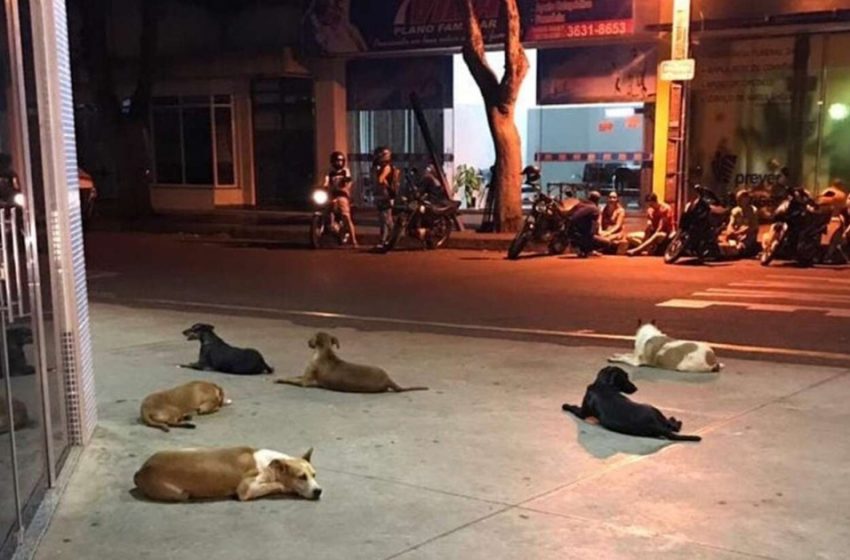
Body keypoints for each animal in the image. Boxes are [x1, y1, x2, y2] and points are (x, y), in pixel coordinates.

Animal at [132, 446, 322, 504]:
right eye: (301, 477)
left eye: (314, 474)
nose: (319, 491)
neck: (270, 465)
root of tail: (141, 470)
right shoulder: (247, 490)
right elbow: (277, 485)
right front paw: (286, 487)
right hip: (180, 493)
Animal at [274, 332, 428, 394]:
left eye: (312, 338)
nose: (307, 342)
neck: (324, 351)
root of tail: (388, 379)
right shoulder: (304, 376)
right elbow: (293, 376)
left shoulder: (304, 382)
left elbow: (291, 380)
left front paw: (280, 379)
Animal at [560, 368, 700, 442]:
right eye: (625, 377)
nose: (636, 388)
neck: (603, 384)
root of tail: (656, 426)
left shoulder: (582, 413)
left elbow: (574, 408)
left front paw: (566, 405)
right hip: (656, 411)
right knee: (674, 426)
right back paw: (675, 420)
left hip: (654, 409)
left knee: (673, 426)